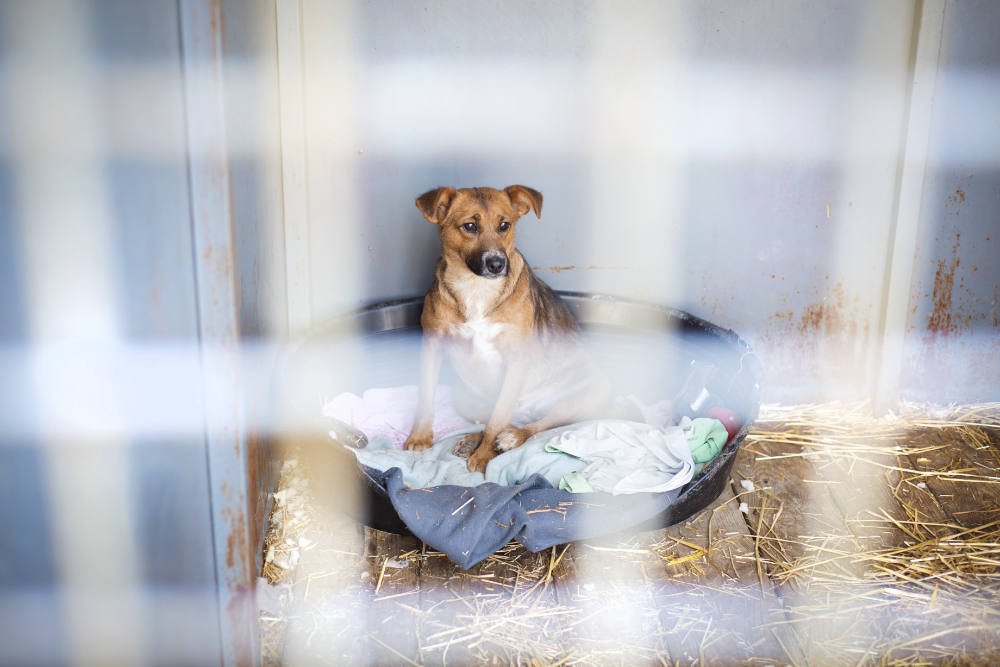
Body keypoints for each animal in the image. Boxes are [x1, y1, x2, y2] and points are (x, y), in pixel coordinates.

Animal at [402, 185, 612, 472]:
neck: (477, 289)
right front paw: (419, 438)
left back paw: (511, 437)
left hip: (585, 395)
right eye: (470, 226)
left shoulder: (517, 358)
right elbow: (426, 395)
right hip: (465, 398)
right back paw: (473, 439)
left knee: (541, 425)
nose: (497, 264)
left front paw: (482, 458)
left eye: (504, 225)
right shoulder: (432, 343)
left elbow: (498, 418)